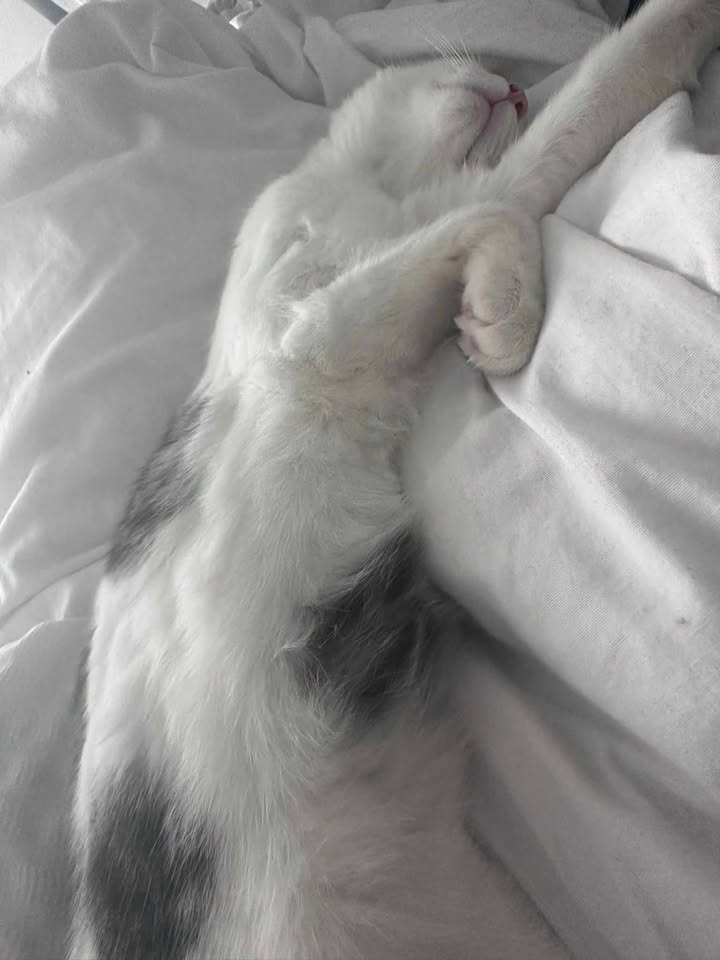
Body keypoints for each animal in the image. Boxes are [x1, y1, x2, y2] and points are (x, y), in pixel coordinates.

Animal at [70, 2, 720, 958]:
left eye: (518, 89)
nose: (515, 83)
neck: (360, 184)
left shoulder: (359, 281)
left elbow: (545, 153)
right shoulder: (321, 315)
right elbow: (512, 189)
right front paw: (504, 313)